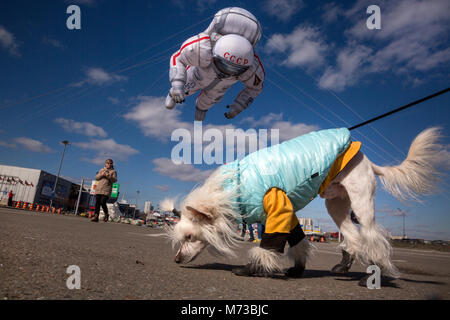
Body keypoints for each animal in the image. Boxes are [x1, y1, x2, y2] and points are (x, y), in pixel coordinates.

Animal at [166, 127, 446, 280]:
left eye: (189, 237)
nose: (176, 260)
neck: (234, 187)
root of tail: (367, 159)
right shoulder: (285, 215)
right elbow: (297, 242)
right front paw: (297, 268)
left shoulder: (279, 209)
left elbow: (270, 245)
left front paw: (253, 268)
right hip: (336, 206)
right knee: (353, 237)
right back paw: (344, 265)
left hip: (361, 202)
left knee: (372, 237)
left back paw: (375, 271)